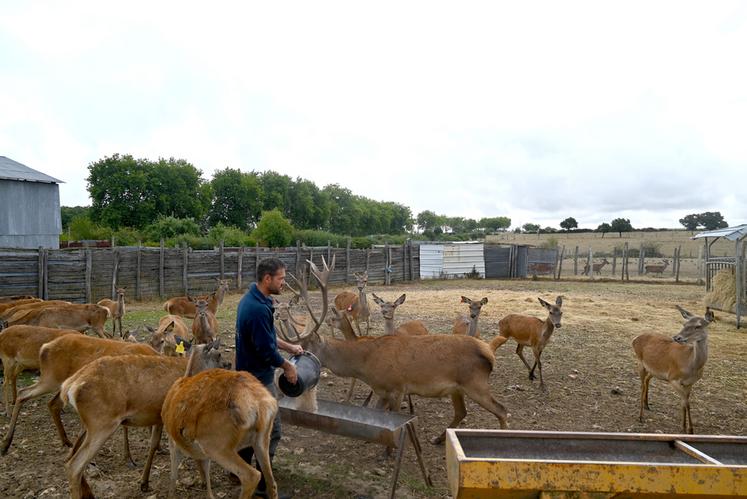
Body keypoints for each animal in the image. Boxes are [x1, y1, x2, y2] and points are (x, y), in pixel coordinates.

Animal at [0, 334, 158, 458]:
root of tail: (44, 347)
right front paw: (129, 457)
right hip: (51, 377)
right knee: (23, 392)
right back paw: (6, 443)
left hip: (61, 384)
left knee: (52, 403)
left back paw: (66, 441)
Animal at [62, 342, 228, 498]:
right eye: (219, 354)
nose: (228, 364)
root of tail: (69, 386)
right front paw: (204, 481)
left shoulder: (160, 418)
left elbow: (153, 444)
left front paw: (144, 482)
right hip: (102, 423)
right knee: (74, 465)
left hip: (89, 424)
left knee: (73, 452)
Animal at [162, 366, 280, 498]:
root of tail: (260, 404)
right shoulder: (202, 452)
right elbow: (206, 469)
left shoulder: (173, 440)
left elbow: (173, 473)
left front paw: (170, 495)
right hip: (262, 438)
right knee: (271, 483)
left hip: (216, 444)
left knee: (252, 475)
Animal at [280, 258, 508, 446]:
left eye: (306, 350)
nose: (291, 376)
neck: (366, 364)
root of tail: (488, 353)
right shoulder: (382, 390)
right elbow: (375, 414)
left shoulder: (398, 387)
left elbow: (394, 418)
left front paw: (388, 452)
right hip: (457, 388)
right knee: (462, 412)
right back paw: (438, 439)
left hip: (475, 382)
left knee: (502, 410)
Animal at [636, 304, 716, 434]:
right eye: (684, 324)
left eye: (698, 326)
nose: (677, 337)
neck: (691, 366)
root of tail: (634, 339)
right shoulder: (672, 378)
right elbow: (686, 403)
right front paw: (688, 429)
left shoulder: (689, 383)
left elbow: (684, 404)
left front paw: (686, 428)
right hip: (640, 362)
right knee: (642, 385)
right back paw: (640, 416)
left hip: (655, 370)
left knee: (647, 380)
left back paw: (647, 405)